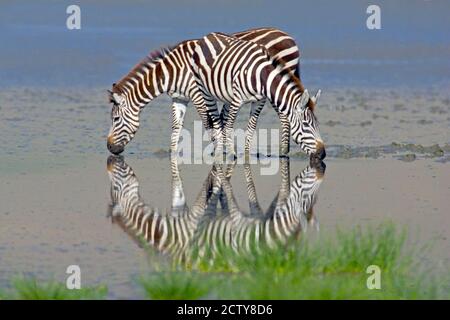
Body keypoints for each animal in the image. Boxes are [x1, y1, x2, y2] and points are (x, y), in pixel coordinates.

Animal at [107, 27, 300, 156]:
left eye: (115, 119)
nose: (109, 148)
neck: (172, 71)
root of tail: (288, 36)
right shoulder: (179, 98)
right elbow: (176, 127)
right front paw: (173, 153)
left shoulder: (198, 94)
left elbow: (209, 124)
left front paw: (217, 154)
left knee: (285, 116)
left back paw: (284, 152)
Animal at [188, 31, 326, 160]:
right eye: (306, 125)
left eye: (317, 124)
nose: (322, 154)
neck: (261, 76)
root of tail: (208, 36)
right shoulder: (237, 100)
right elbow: (229, 125)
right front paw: (232, 154)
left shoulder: (259, 101)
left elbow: (251, 129)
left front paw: (247, 155)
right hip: (204, 90)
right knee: (215, 121)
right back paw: (218, 150)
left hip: (227, 96)